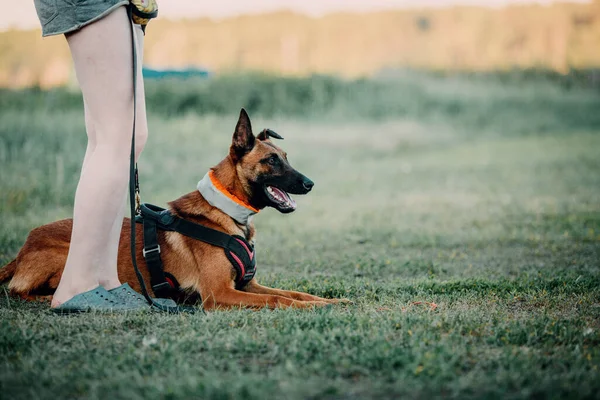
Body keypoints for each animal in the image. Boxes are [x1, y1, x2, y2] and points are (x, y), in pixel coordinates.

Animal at [1, 108, 346, 310]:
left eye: (286, 157)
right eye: (271, 160)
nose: (310, 183)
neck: (228, 215)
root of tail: (22, 249)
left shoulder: (248, 284)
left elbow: (295, 294)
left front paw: (333, 300)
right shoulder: (218, 293)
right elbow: (278, 299)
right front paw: (319, 307)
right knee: (19, 291)